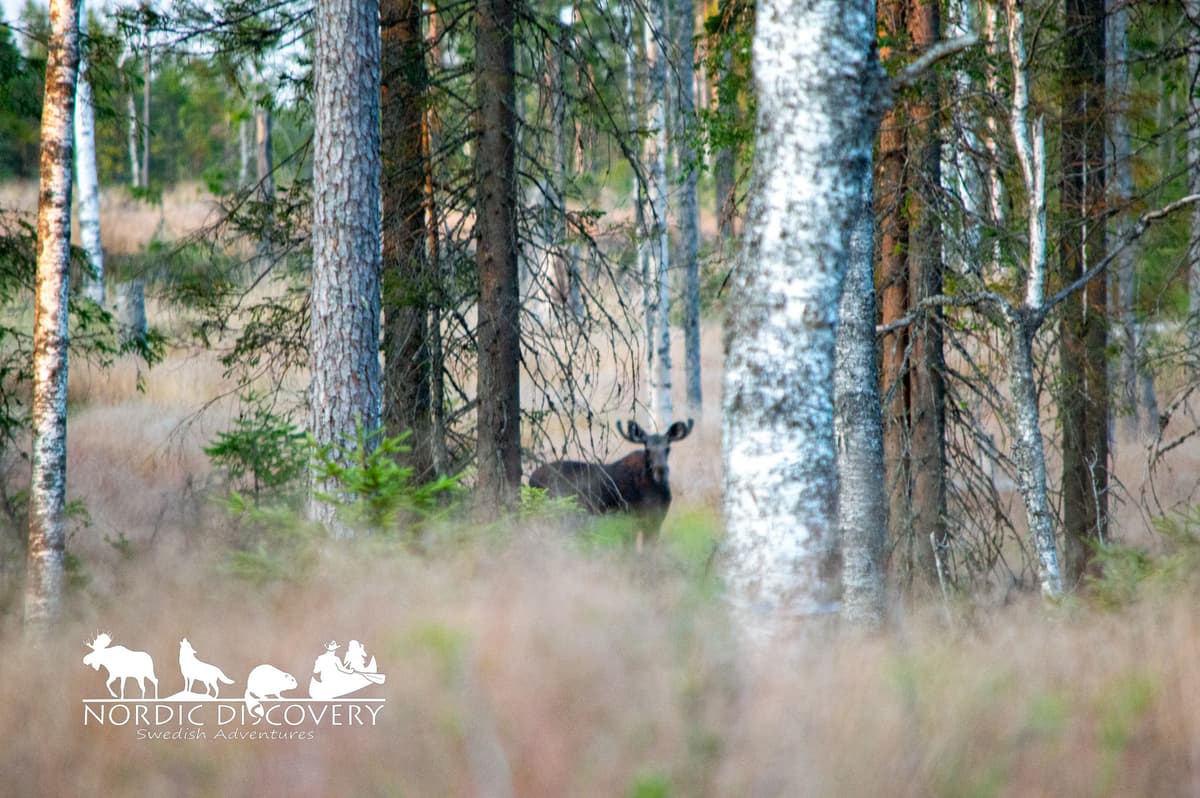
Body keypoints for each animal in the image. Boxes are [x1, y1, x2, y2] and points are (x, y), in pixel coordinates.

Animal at [529, 418, 694, 548]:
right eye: (647, 449)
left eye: (668, 448)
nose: (661, 469)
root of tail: (530, 480)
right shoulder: (629, 518)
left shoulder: (656, 521)